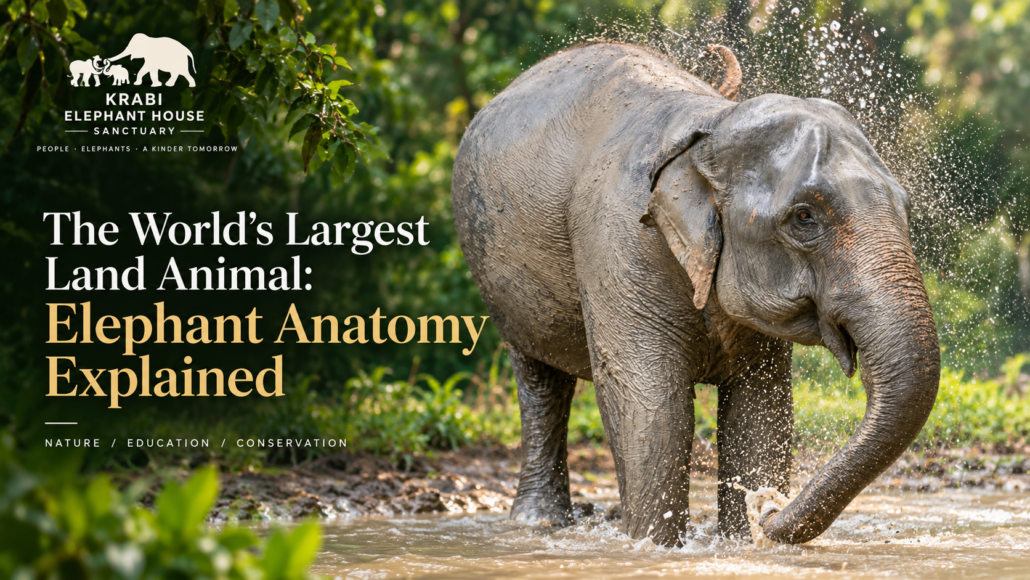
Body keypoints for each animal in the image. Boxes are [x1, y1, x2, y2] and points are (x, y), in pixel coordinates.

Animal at [451, 42, 940, 546]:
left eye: (905, 206)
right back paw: (540, 523)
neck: (709, 128)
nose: (769, 508)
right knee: (541, 382)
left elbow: (759, 409)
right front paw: (653, 547)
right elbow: (652, 405)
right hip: (500, 279)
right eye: (804, 217)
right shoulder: (618, 240)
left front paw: (740, 539)